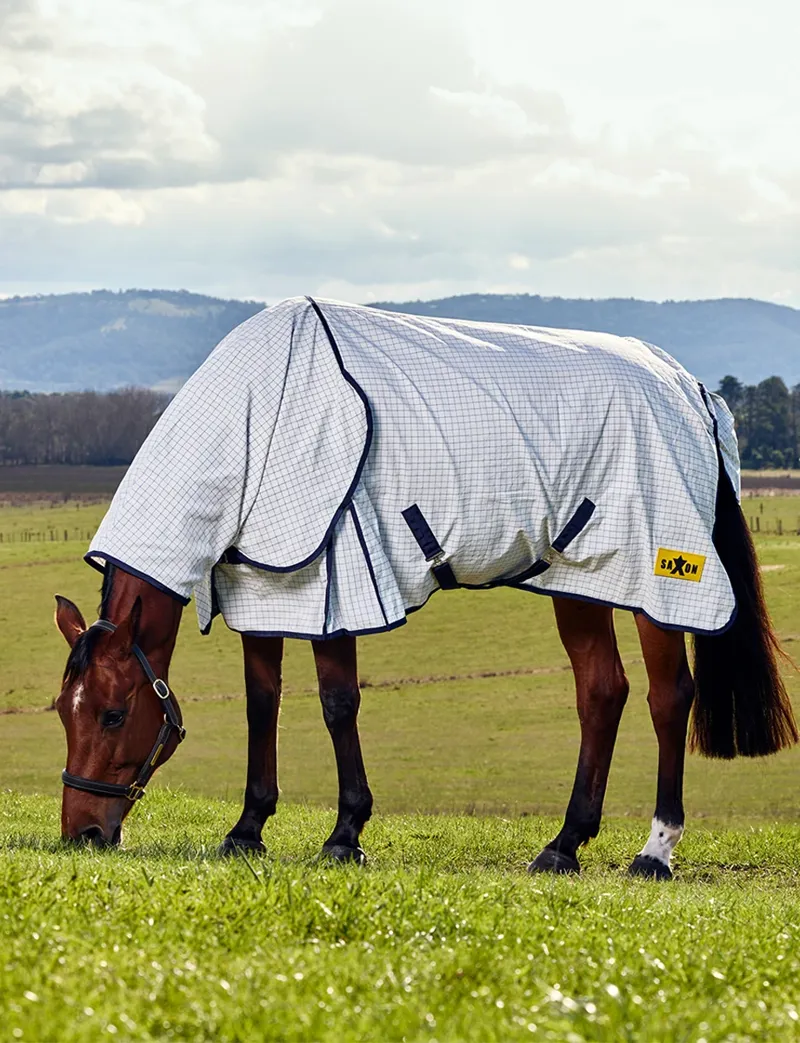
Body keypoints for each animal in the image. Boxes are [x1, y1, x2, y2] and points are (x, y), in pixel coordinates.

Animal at [53, 298, 798, 877]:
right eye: (64, 710)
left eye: (114, 714)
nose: (82, 834)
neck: (257, 417)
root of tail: (689, 390)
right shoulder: (264, 586)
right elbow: (262, 704)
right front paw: (246, 830)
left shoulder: (338, 580)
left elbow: (337, 703)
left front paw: (344, 835)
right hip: (579, 578)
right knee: (601, 692)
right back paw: (562, 846)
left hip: (658, 578)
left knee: (668, 697)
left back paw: (654, 851)